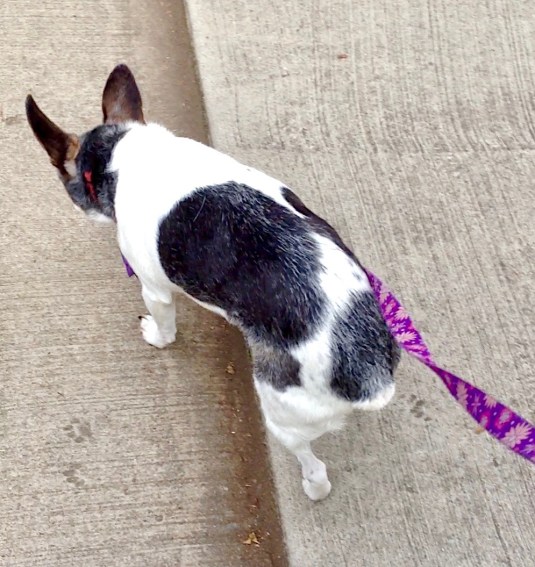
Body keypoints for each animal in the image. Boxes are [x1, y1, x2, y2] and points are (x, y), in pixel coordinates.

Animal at [27, 65, 400, 502]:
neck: (127, 156)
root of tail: (367, 370)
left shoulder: (154, 290)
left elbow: (165, 327)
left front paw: (157, 336)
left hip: (282, 413)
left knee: (314, 466)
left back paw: (314, 486)